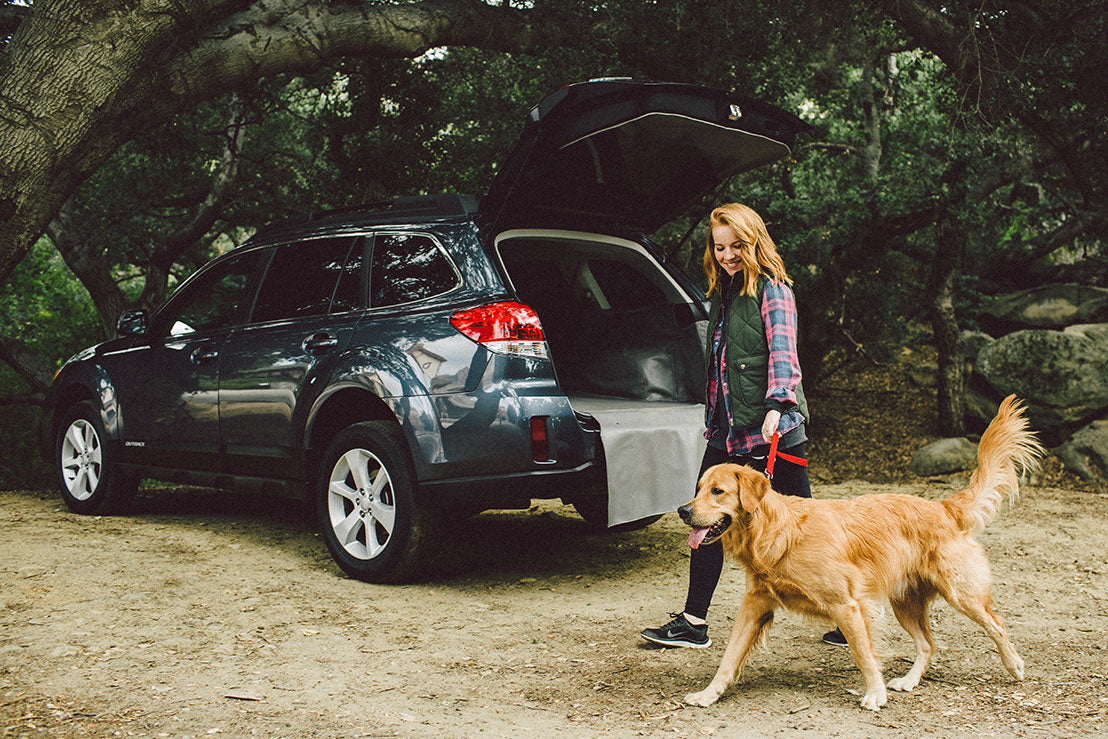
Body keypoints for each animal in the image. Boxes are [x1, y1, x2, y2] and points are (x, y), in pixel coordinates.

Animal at [678, 396, 1041, 713]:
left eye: (718, 491)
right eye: (698, 489)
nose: (683, 511)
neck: (778, 532)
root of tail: (942, 506)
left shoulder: (847, 606)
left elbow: (864, 654)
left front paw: (875, 694)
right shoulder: (755, 604)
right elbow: (729, 656)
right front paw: (708, 694)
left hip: (960, 593)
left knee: (996, 624)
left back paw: (1014, 665)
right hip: (905, 604)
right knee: (928, 644)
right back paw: (909, 680)